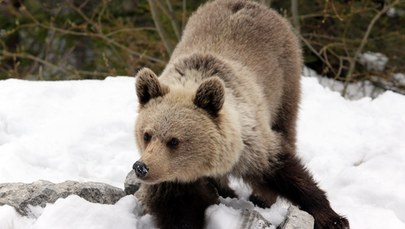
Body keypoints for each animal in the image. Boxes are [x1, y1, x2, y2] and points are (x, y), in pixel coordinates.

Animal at [132, 0, 348, 229]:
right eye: (146, 135)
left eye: (174, 141)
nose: (142, 167)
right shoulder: (174, 178)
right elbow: (177, 206)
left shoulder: (251, 143)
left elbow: (285, 170)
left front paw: (333, 218)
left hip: (285, 82)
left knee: (286, 127)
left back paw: (260, 197)